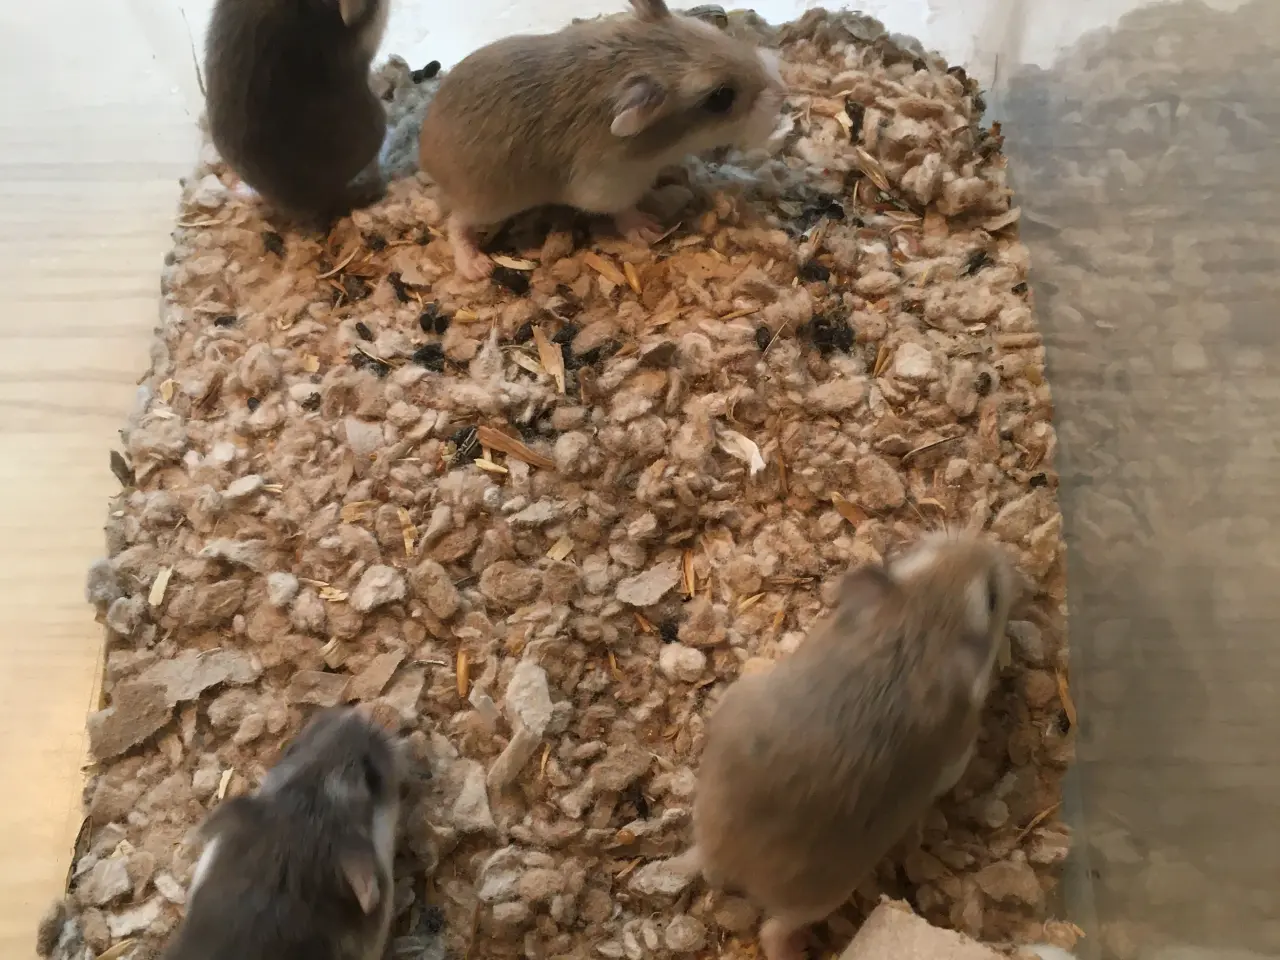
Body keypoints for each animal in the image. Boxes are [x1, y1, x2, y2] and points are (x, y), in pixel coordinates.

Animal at [417, 0, 786, 280]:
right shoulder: (608, 185)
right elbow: (623, 210)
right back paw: (476, 267)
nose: (784, 93)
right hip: (489, 203)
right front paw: (649, 230)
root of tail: (425, 159)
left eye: (716, 32)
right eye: (721, 98)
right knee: (456, 223)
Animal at [685, 532, 1020, 960]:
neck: (918, 627)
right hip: (822, 894)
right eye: (992, 596)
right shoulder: (956, 754)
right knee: (773, 931)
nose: (992, 547)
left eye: (928, 551)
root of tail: (724, 853)